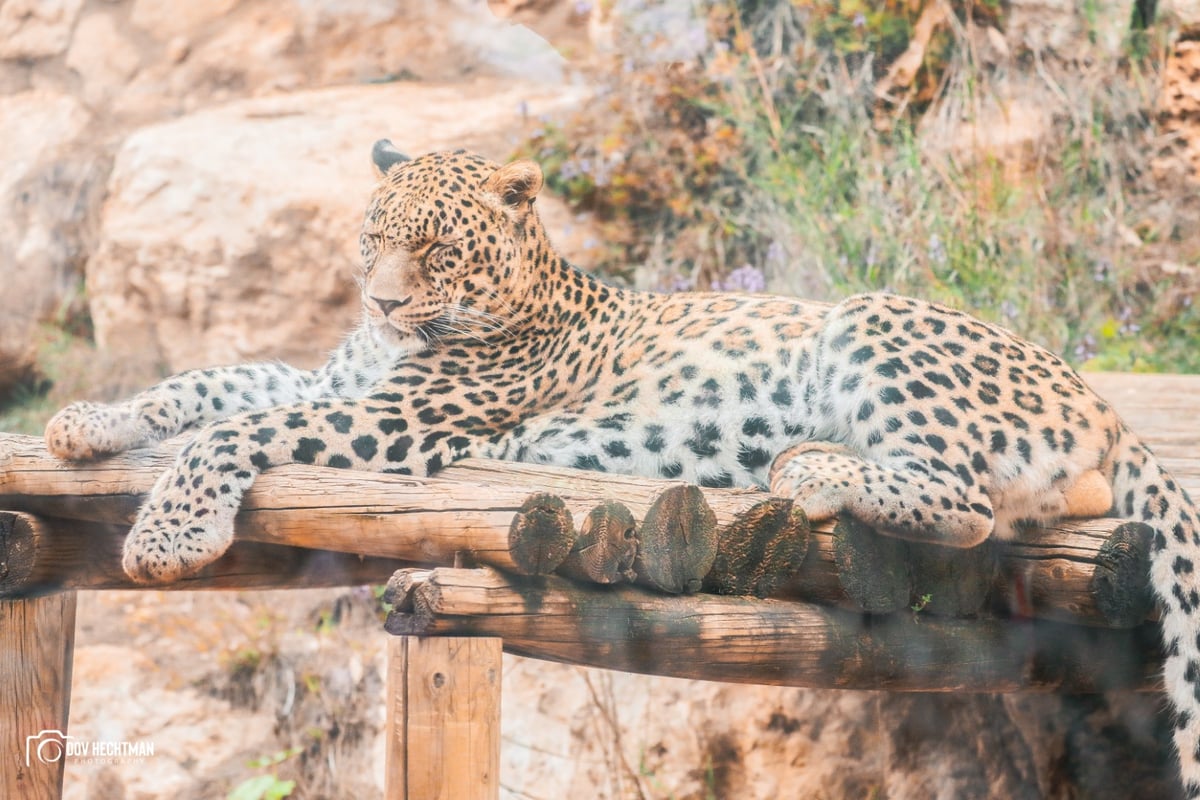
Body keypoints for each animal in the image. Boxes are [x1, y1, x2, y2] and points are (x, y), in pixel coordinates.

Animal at [39, 139, 1200, 796]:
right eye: (372, 235)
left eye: (436, 249)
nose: (382, 300)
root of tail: (1102, 400)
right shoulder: (341, 375)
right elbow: (212, 383)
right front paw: (88, 423)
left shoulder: (399, 419)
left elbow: (233, 427)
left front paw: (166, 532)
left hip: (874, 318)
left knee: (963, 503)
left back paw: (811, 468)